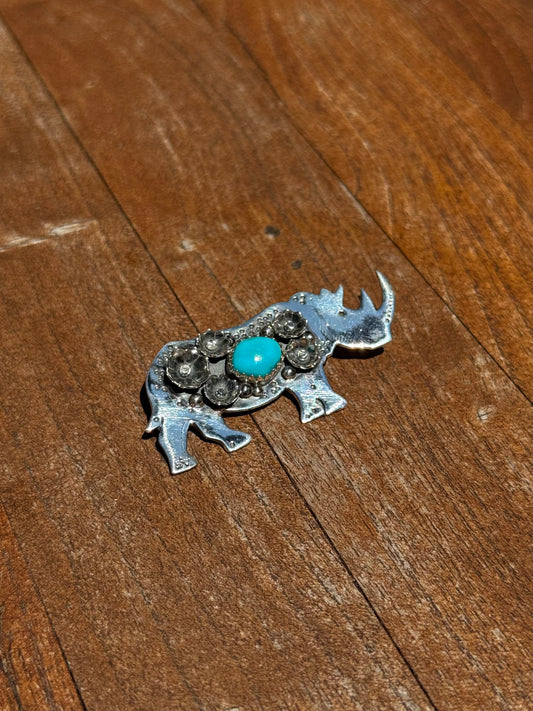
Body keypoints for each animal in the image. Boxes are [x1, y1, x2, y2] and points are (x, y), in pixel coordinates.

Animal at [145, 272, 394, 473]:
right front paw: (331, 408)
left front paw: (318, 412)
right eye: (344, 314)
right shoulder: (306, 372)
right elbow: (316, 385)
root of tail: (150, 379)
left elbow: (312, 390)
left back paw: (184, 466)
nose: (384, 337)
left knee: (181, 422)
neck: (316, 314)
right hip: (178, 396)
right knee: (204, 417)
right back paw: (236, 443)